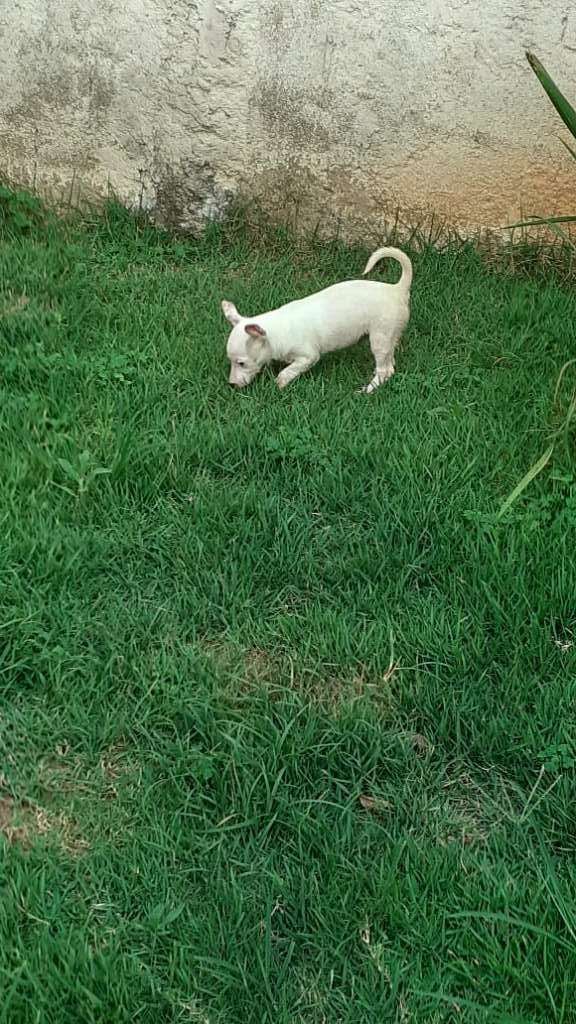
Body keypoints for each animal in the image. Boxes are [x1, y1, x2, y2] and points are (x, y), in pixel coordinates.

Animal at [221, 246, 412, 393]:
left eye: (241, 363)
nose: (231, 385)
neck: (275, 332)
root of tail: (397, 289)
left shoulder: (308, 357)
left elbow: (288, 371)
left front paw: (279, 384)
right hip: (389, 337)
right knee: (390, 362)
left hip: (380, 338)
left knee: (384, 370)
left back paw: (367, 389)